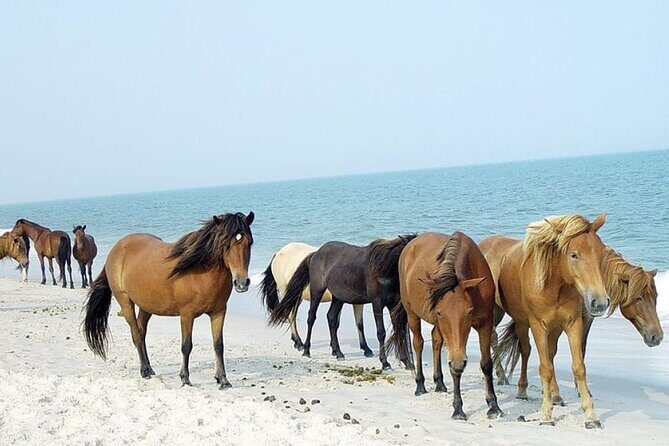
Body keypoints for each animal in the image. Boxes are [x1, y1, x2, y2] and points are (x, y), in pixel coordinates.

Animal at [83, 212, 254, 389]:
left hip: (146, 306)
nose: (242, 283)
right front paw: (185, 379)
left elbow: (218, 345)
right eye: (226, 244)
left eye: (249, 242)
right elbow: (186, 346)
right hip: (125, 302)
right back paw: (144, 370)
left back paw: (149, 368)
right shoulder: (187, 315)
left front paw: (223, 379)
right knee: (136, 334)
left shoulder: (218, 312)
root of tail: (116, 248)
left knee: (141, 332)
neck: (200, 272)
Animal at [269, 234, 416, 369]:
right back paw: (305, 349)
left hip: (337, 298)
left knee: (331, 318)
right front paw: (385, 363)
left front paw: (406, 362)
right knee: (310, 317)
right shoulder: (377, 304)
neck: (382, 269)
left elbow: (399, 331)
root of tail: (316, 253)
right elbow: (381, 332)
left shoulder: (393, 305)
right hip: (316, 291)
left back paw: (338, 353)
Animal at [386, 231, 503, 420]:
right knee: (418, 344)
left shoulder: (485, 324)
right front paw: (458, 409)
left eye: (469, 312)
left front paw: (493, 406)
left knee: (436, 341)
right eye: (440, 312)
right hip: (412, 314)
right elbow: (455, 369)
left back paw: (439, 382)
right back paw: (420, 385)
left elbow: (486, 364)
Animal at [479, 214, 611, 428]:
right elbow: (545, 368)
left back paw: (544, 393)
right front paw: (546, 416)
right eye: (574, 255)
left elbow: (578, 367)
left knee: (534, 351)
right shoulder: (538, 326)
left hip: (535, 324)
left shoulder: (572, 324)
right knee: (503, 342)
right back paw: (509, 380)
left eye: (601, 253)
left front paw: (591, 416)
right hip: (501, 314)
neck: (554, 285)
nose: (599, 302)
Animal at [493, 246, 663, 404]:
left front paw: (579, 390)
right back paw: (515, 386)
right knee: (518, 347)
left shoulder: (585, 318)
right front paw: (557, 393)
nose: (657, 336)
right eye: (639, 298)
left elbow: (579, 349)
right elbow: (552, 352)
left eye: (656, 296)